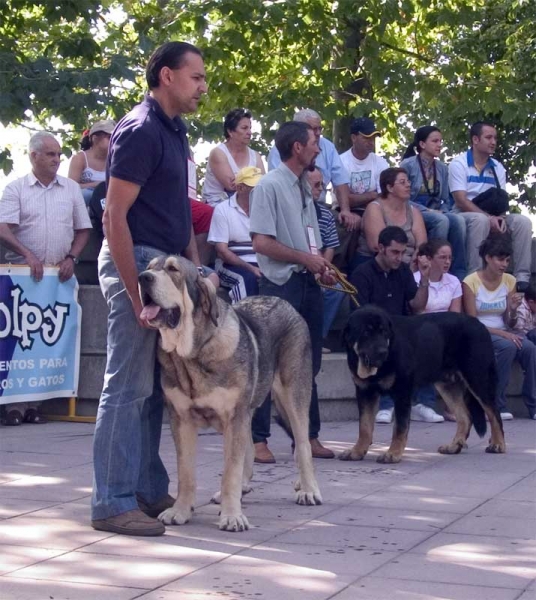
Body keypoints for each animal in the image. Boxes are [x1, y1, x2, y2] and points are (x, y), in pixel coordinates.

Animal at [139, 255, 322, 532]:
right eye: (149, 267)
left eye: (173, 270)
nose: (143, 278)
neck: (192, 353)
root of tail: (284, 302)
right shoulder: (181, 419)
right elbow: (186, 472)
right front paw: (180, 511)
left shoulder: (234, 416)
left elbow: (230, 471)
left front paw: (232, 516)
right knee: (250, 447)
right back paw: (244, 488)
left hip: (294, 395)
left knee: (302, 444)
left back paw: (309, 489)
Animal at [342, 304, 504, 464]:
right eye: (366, 332)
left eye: (384, 332)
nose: (383, 352)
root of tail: (480, 324)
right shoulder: (365, 393)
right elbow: (364, 426)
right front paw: (357, 451)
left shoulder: (402, 393)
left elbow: (400, 427)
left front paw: (393, 453)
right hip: (448, 386)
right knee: (465, 417)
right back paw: (453, 447)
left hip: (479, 379)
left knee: (494, 412)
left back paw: (498, 444)